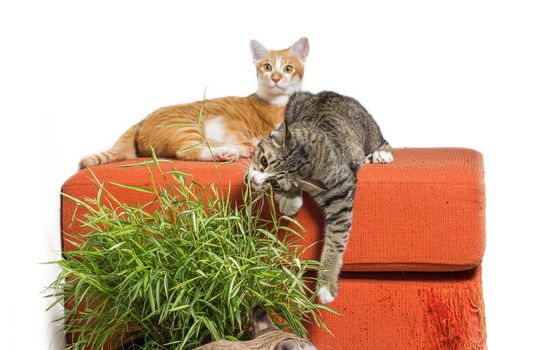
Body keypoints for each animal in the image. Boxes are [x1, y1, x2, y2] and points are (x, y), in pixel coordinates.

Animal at [78, 37, 310, 169]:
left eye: (288, 68)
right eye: (268, 67)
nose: (276, 78)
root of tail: (141, 121)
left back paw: (243, 150)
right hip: (187, 128)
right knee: (188, 151)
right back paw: (226, 153)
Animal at [246, 90, 392, 304]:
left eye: (275, 183)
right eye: (263, 161)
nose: (254, 180)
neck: (306, 151)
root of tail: (330, 93)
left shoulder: (341, 189)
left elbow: (336, 238)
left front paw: (325, 284)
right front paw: (290, 198)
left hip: (366, 126)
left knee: (380, 140)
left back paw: (381, 153)